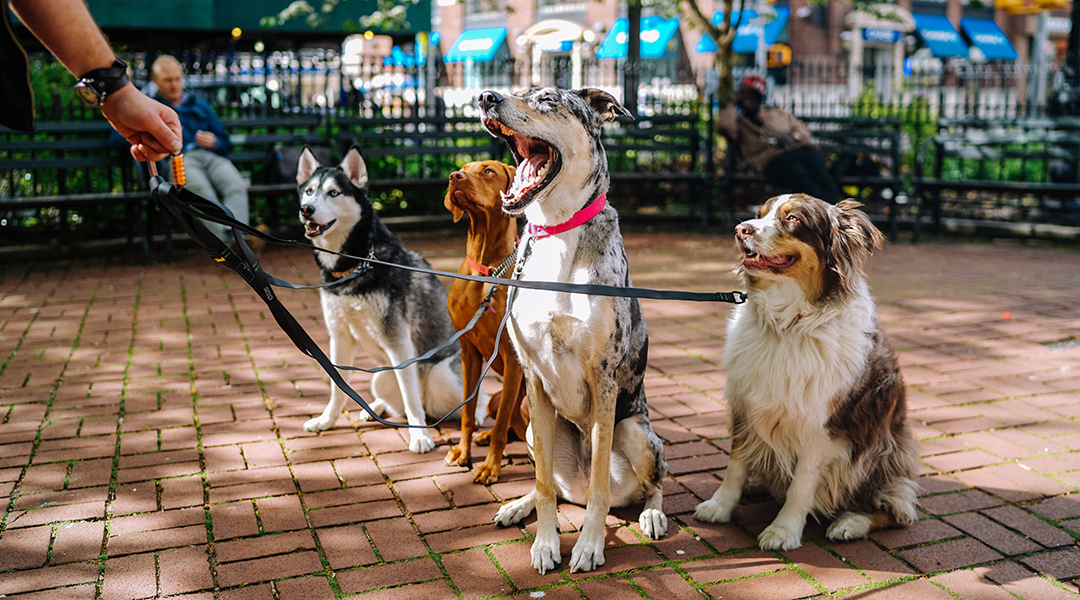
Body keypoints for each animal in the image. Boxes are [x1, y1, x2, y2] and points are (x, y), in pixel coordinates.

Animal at [291, 146, 486, 455]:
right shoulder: (340, 336)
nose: (306, 209)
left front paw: (420, 437)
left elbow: (410, 396)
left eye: (333, 193)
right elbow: (337, 387)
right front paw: (327, 420)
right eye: (309, 191)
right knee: (400, 403)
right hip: (380, 377)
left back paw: (474, 413)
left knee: (473, 397)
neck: (356, 264)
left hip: (441, 376)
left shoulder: (398, 340)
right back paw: (377, 407)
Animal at [442, 158, 527, 483]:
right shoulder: (468, 351)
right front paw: (462, 453)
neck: (486, 269)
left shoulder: (513, 359)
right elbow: (467, 413)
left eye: (488, 170)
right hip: (494, 398)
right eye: (463, 168)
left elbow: (502, 426)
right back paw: (484, 436)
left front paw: (491, 466)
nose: (454, 177)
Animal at [481, 86, 665, 574]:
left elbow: (600, 483)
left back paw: (652, 514)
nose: (486, 96)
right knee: (555, 485)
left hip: (636, 432)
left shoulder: (603, 379)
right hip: (531, 428)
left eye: (547, 99)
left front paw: (588, 546)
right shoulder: (533, 377)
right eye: (517, 89)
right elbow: (545, 484)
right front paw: (546, 543)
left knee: (651, 485)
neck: (557, 231)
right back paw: (517, 506)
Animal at [695, 195, 915, 548]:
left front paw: (784, 529)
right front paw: (721, 505)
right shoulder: (744, 405)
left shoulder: (820, 427)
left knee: (897, 508)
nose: (741, 229)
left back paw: (851, 523)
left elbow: (802, 484)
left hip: (878, 453)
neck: (787, 324)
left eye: (793, 219)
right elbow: (736, 464)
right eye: (759, 214)